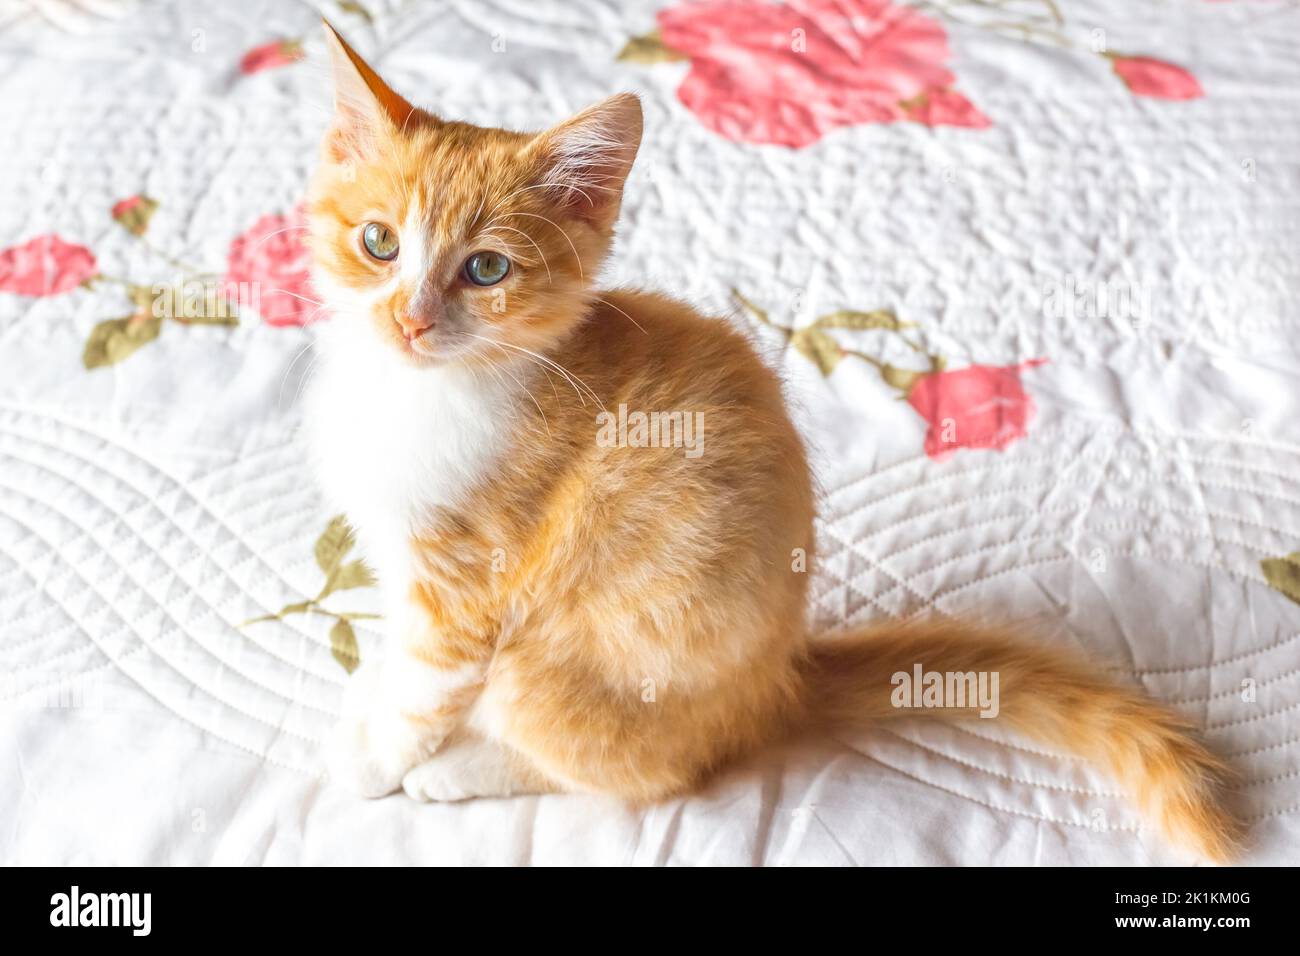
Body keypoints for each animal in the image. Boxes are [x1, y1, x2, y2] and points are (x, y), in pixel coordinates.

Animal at [301, 22, 1237, 863]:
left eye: (487, 270)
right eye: (378, 242)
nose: (411, 320)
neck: (415, 392)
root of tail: (780, 682)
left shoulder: (471, 574)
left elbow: (430, 684)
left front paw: (379, 757)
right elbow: (400, 643)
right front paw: (372, 681)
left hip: (569, 669)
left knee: (636, 767)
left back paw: (469, 767)